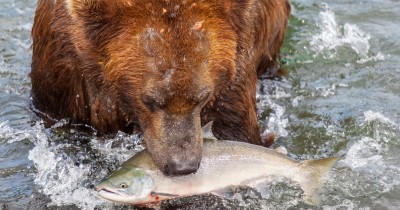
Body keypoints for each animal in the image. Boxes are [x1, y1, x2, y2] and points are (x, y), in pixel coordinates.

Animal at [29, 0, 290, 176]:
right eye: (150, 99)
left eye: (203, 96)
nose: (182, 165)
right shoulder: (66, 75)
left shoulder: (237, 62)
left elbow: (235, 131)